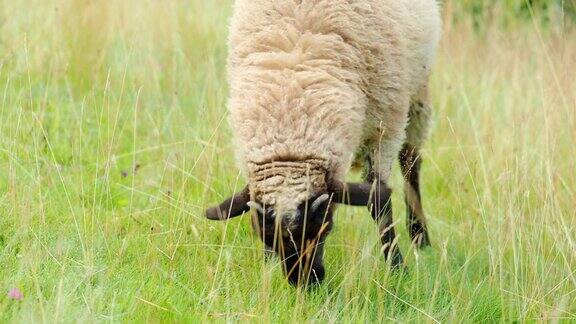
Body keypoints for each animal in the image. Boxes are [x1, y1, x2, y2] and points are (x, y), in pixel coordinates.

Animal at [204, 0, 440, 286]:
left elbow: (379, 202)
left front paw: (397, 268)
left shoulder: (384, 130)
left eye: (324, 227)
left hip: (417, 95)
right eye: (266, 237)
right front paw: (268, 265)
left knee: (410, 164)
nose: (304, 284)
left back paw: (420, 236)